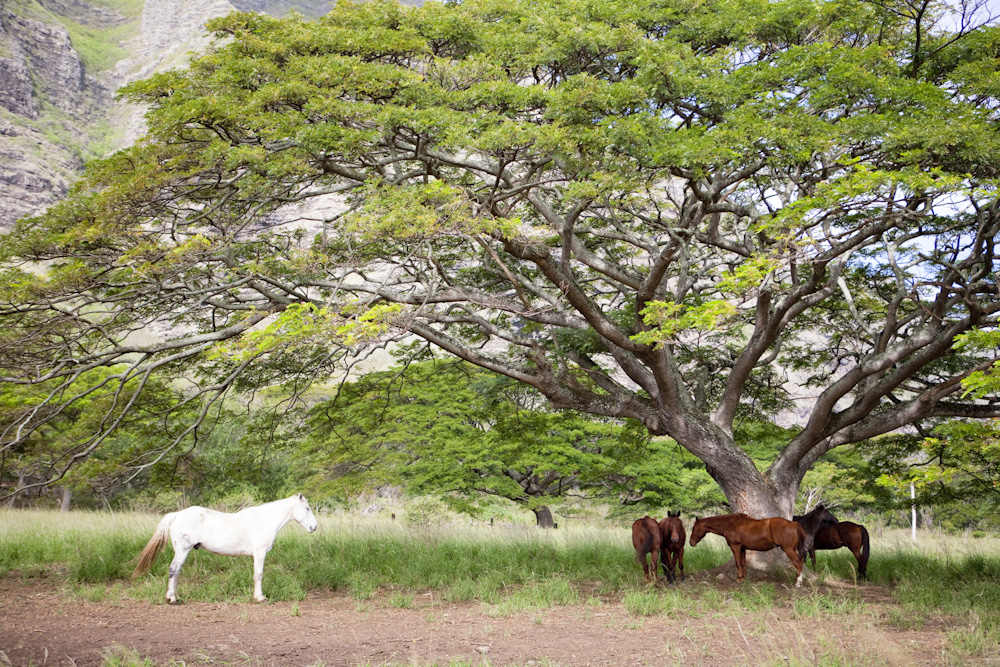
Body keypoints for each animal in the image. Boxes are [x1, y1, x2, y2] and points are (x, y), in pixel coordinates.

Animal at [131, 490, 314, 604]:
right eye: (307, 508)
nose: (314, 527)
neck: (264, 520)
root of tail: (176, 515)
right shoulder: (259, 553)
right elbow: (258, 575)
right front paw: (260, 597)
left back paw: (174, 596)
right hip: (182, 551)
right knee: (173, 570)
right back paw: (172, 599)